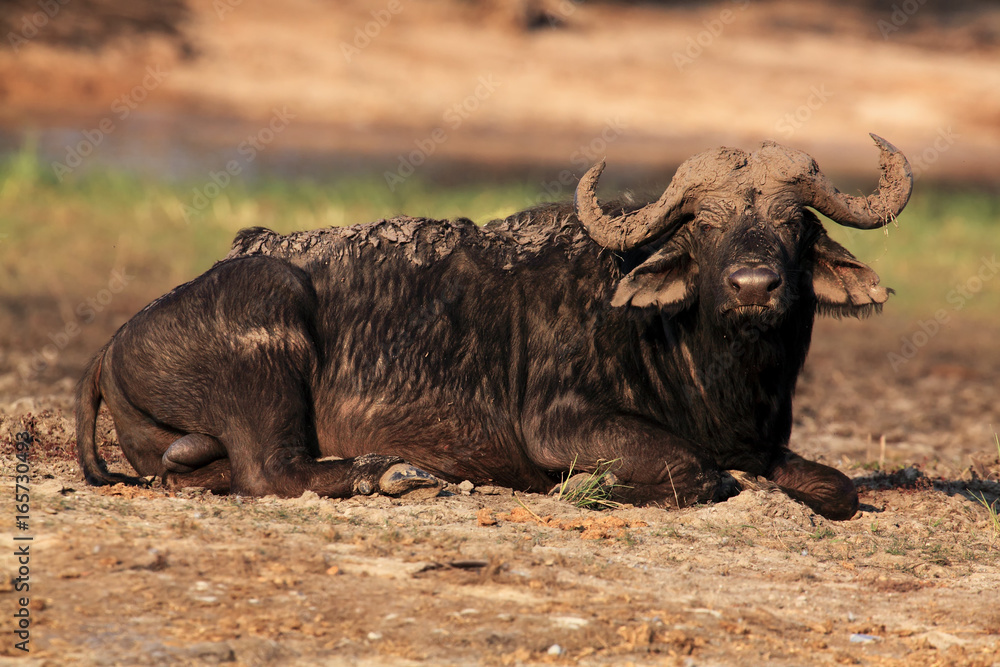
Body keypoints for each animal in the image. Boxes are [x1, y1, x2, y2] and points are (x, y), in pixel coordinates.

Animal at [76, 134, 912, 520]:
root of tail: (115, 342)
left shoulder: (766, 443)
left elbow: (836, 487)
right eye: (705, 224)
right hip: (271, 322)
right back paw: (391, 472)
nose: (753, 286)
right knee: (269, 472)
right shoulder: (563, 424)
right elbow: (700, 473)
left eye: (793, 223)